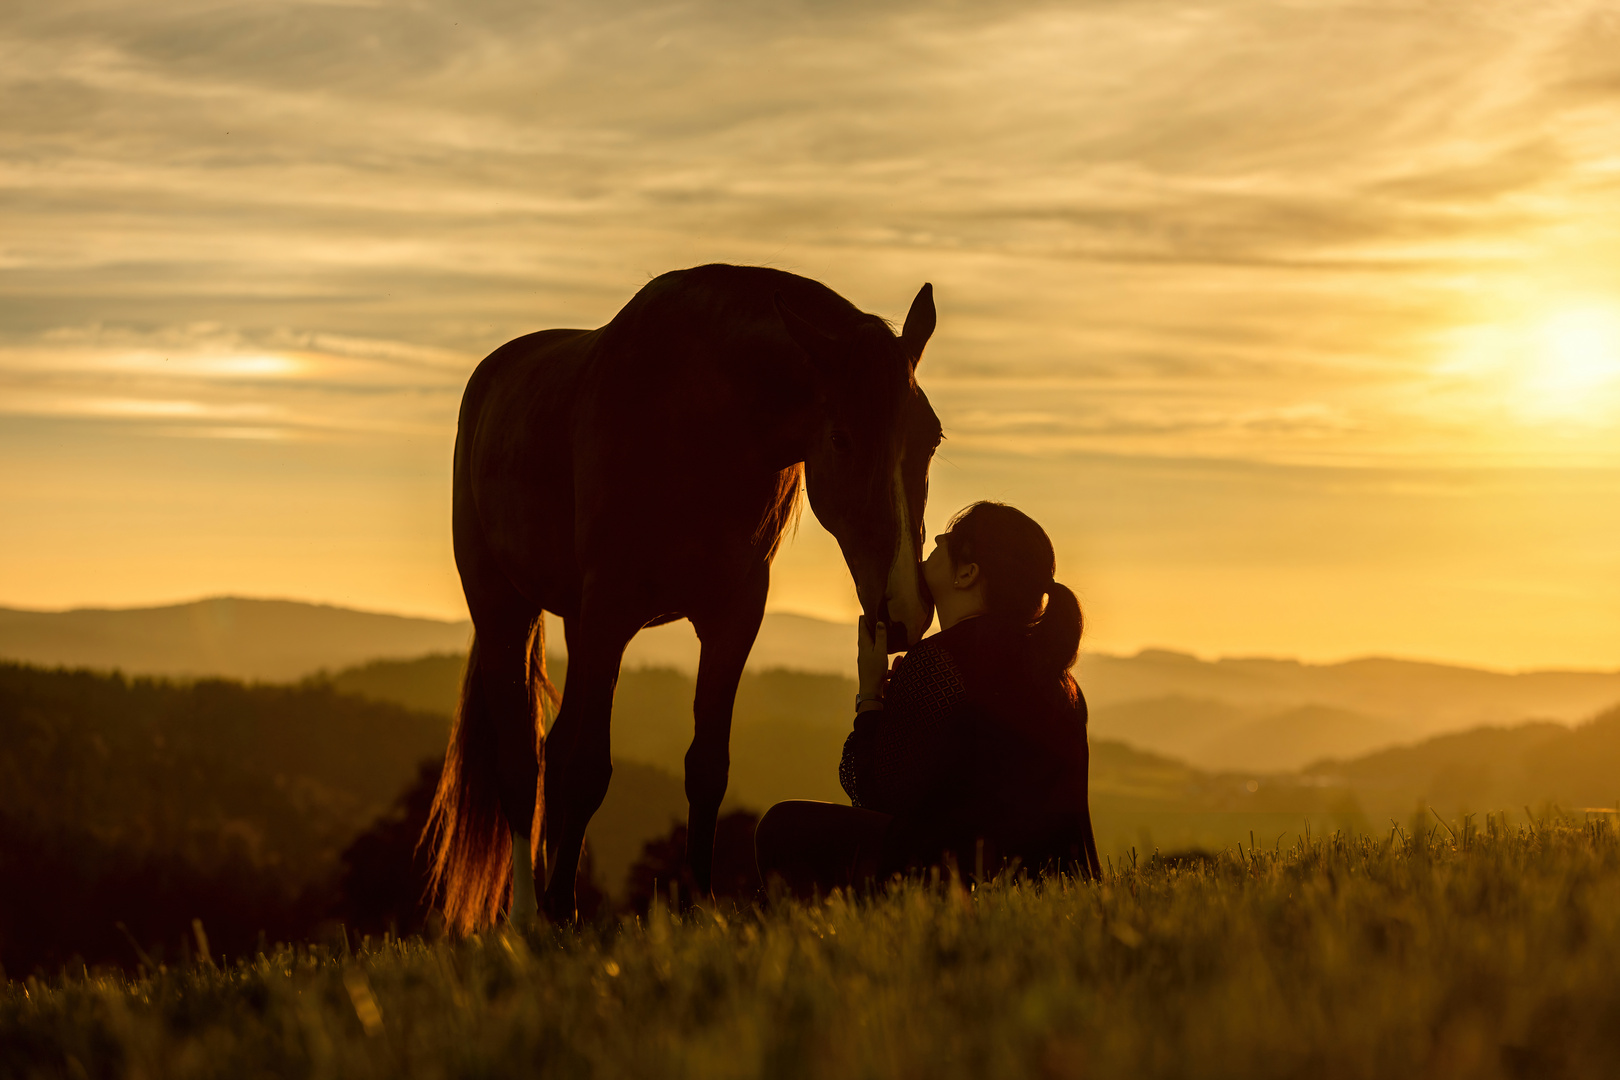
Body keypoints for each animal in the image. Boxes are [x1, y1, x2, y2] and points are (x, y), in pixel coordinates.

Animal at [424, 263, 946, 932]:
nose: (904, 610)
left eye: (931, 437)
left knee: (552, 746)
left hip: (576, 623)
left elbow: (705, 767)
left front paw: (698, 906)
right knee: (523, 760)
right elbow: (587, 767)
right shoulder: (611, 608)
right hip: (503, 608)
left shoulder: (732, 616)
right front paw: (565, 916)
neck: (698, 418)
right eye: (841, 438)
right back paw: (527, 918)